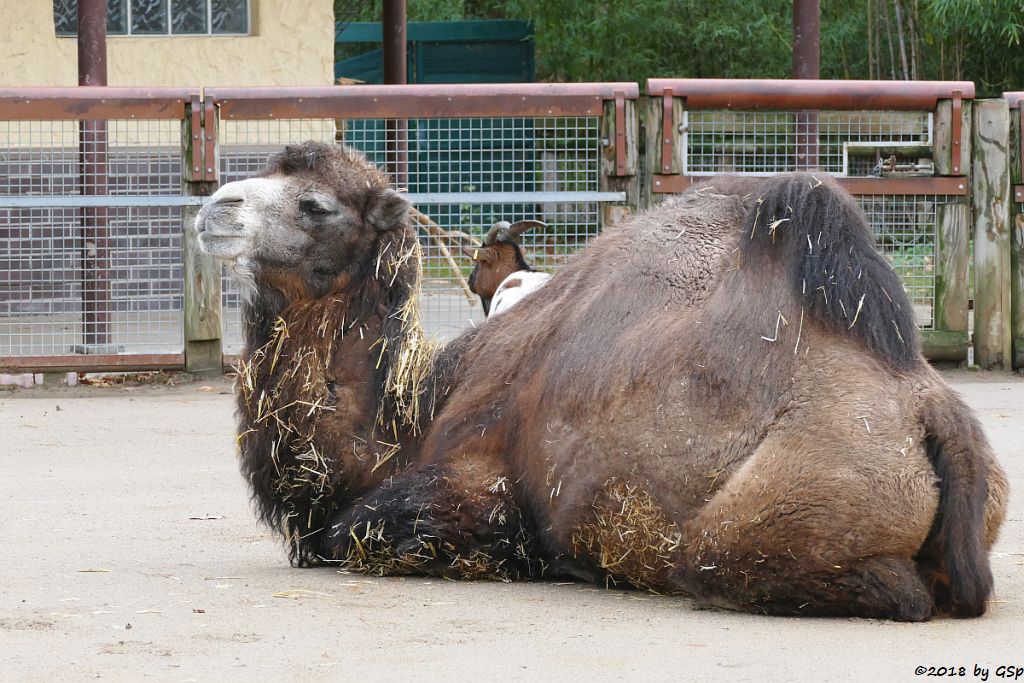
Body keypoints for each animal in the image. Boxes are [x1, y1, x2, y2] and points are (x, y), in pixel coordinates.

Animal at [197, 141, 1007, 622]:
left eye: (317, 205)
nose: (212, 208)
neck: (414, 412)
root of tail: (937, 416)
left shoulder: (477, 485)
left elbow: (354, 530)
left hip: (755, 520)